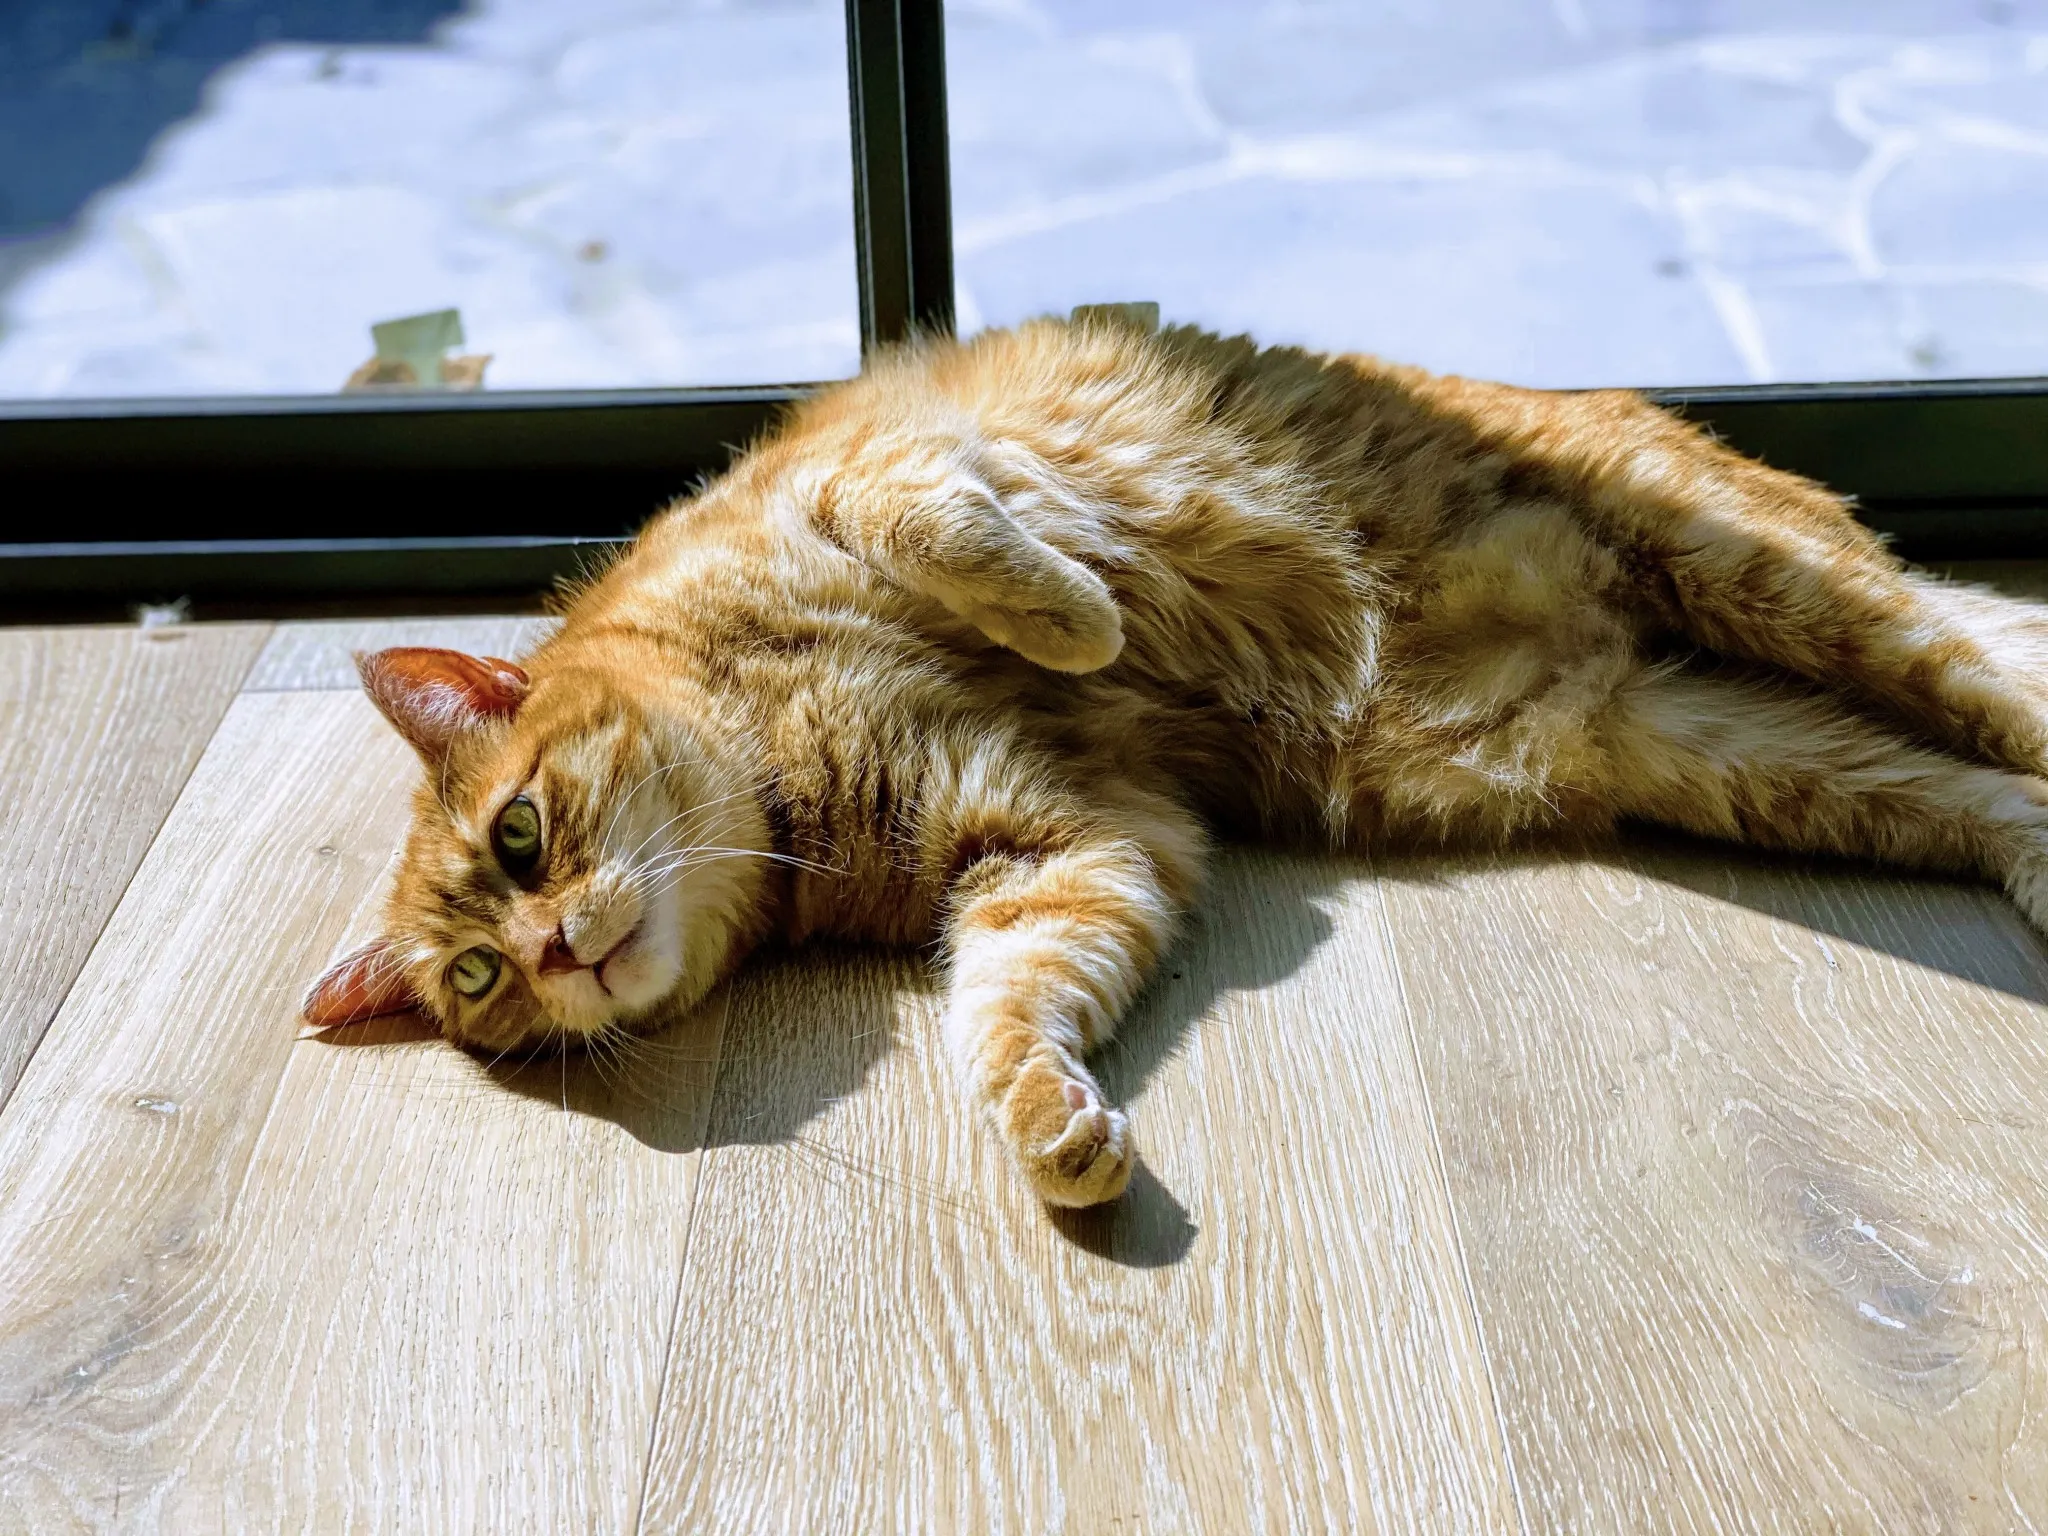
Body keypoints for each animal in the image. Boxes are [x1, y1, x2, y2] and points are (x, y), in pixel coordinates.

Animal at [307, 319, 2048, 1212]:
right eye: (479, 986)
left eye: (520, 836)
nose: (551, 952)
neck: (789, 768)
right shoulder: (1075, 851)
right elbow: (1012, 1011)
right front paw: (1049, 1131)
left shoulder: (879, 476)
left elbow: (955, 534)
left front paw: (1077, 617)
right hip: (1722, 749)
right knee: (1981, 778)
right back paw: (2034, 857)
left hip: (1770, 583)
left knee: (1999, 662)